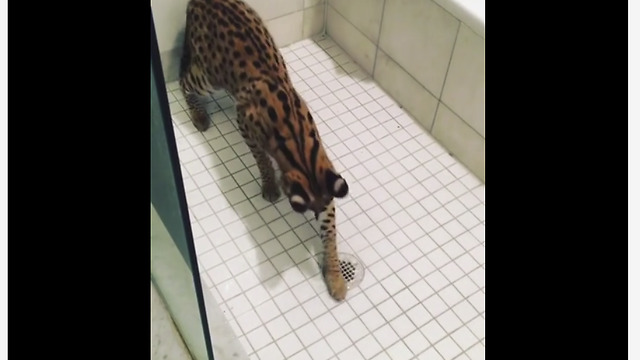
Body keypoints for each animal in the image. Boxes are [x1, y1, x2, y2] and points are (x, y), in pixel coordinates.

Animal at [179, 0, 350, 300]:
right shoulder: (244, 123)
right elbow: (261, 159)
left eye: (321, 211)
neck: (301, 149)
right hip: (206, 77)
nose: (316, 215)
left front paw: (334, 275)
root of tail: (200, 0)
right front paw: (270, 184)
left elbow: (331, 236)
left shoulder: (325, 181)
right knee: (183, 80)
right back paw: (197, 114)